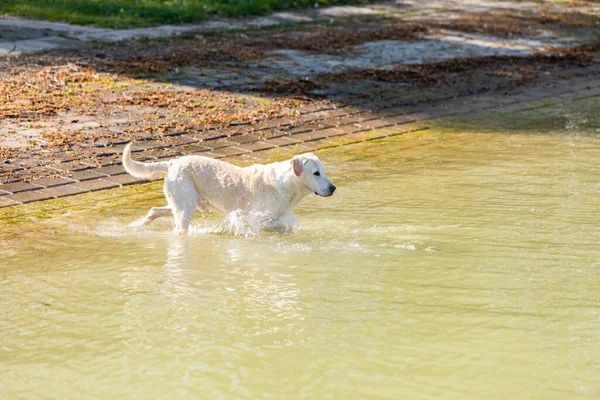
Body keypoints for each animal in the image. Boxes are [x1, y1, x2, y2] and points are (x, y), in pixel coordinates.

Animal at [122, 143, 338, 234]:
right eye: (316, 173)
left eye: (323, 171)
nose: (333, 188)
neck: (287, 183)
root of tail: (172, 162)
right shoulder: (253, 218)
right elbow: (272, 225)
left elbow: (284, 226)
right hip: (185, 208)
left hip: (181, 203)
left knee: (154, 210)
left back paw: (136, 227)